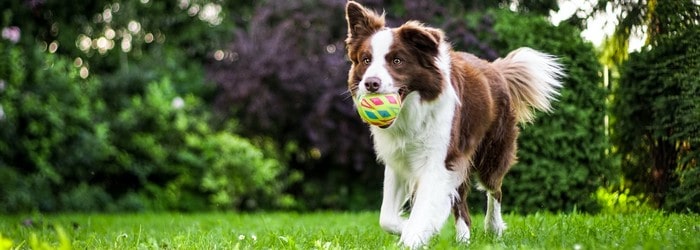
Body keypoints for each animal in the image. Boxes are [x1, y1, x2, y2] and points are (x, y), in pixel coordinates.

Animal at [342, 0, 568, 248]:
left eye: (397, 61)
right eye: (366, 60)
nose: (371, 83)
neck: (411, 112)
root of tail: (496, 69)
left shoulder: (438, 160)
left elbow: (423, 209)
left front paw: (414, 236)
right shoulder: (399, 160)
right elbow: (387, 218)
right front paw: (413, 229)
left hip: (491, 152)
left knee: (494, 190)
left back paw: (493, 228)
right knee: (462, 205)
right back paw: (463, 239)